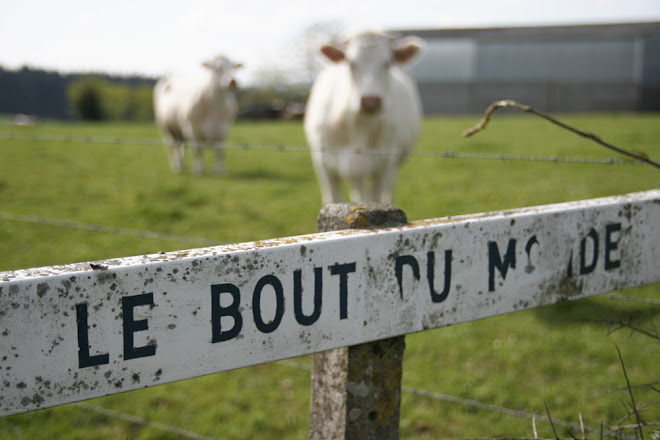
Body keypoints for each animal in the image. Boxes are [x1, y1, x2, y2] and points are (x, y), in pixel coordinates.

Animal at [304, 30, 422, 205]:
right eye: (351, 63)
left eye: (387, 63)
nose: (370, 101)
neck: (359, 127)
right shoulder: (323, 165)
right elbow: (334, 200)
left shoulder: (384, 164)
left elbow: (376, 199)